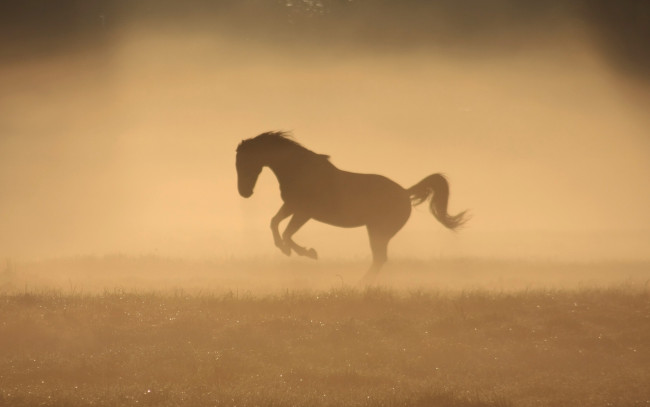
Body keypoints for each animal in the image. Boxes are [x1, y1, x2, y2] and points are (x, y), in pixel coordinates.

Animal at [235, 132, 468, 282]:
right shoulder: (291, 206)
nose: (244, 192)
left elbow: (287, 233)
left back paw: (361, 284)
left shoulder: (304, 212)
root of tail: (404, 192)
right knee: (379, 258)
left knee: (379, 258)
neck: (300, 170)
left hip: (378, 231)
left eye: (246, 162)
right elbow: (274, 223)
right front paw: (286, 249)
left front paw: (307, 252)